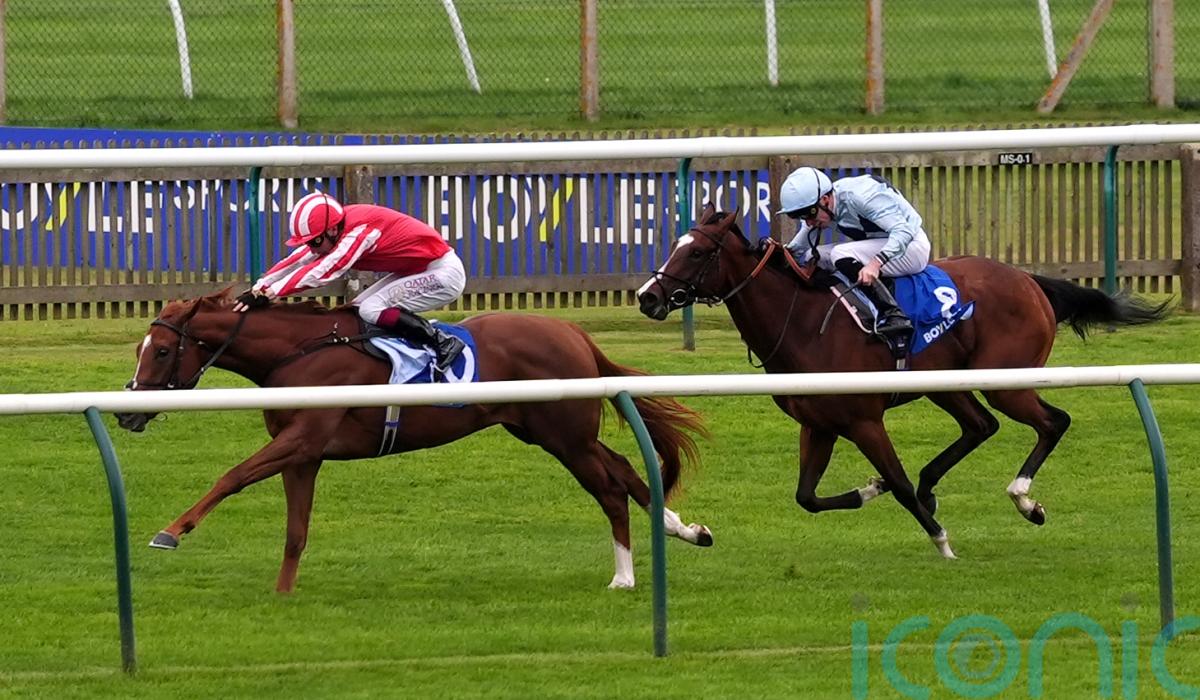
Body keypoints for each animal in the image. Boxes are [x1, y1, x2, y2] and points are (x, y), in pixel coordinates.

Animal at [115, 289, 711, 593]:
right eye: (141, 349)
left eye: (162, 351)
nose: (126, 413)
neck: (299, 352)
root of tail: (573, 332)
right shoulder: (304, 454)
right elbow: (295, 532)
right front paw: (283, 598)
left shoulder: (304, 438)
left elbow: (232, 476)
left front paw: (170, 532)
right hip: (544, 431)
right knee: (627, 471)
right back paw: (687, 530)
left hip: (565, 435)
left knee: (610, 488)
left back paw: (625, 577)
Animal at [636, 203, 1170, 558]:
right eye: (676, 245)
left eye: (698, 252)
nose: (647, 297)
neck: (803, 323)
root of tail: (1029, 281)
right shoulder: (819, 425)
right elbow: (807, 497)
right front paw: (869, 490)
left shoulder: (864, 421)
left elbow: (897, 480)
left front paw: (941, 539)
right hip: (946, 383)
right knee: (981, 426)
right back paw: (941, 482)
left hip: (1005, 382)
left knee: (1052, 422)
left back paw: (1024, 499)